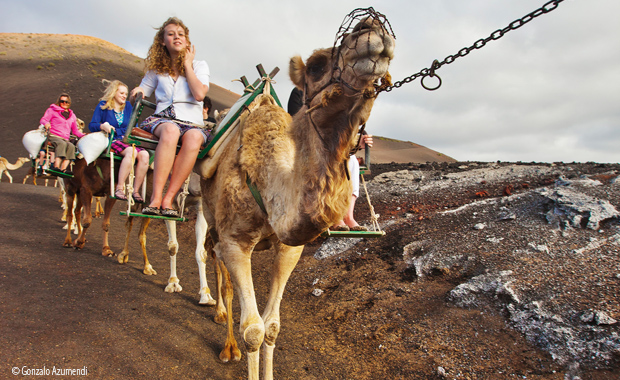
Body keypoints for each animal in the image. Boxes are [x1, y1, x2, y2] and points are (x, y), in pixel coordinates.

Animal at [196, 12, 394, 380]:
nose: (371, 26)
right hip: (210, 214)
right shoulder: (235, 241)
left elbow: (272, 326)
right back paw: (227, 343)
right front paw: (238, 345)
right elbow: (253, 329)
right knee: (218, 269)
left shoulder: (290, 248)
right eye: (316, 66)